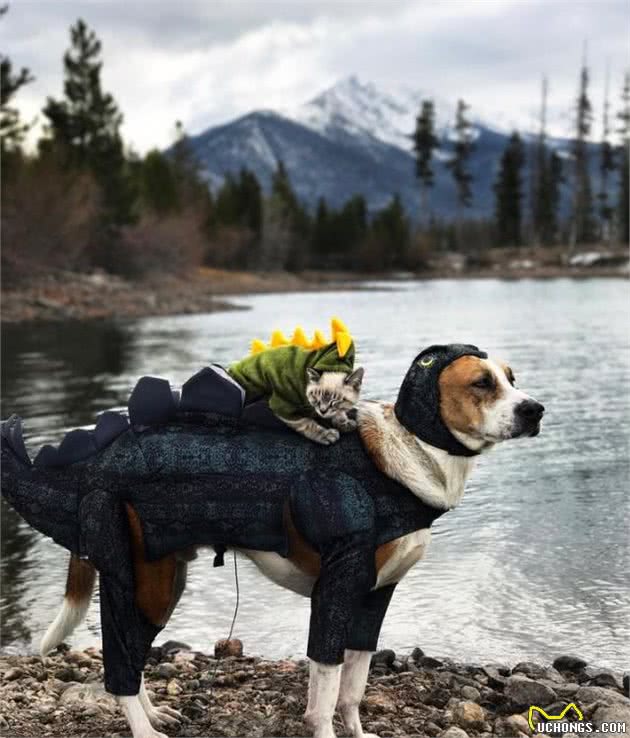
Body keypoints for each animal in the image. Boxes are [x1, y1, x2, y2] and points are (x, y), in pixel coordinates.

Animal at [2, 344, 544, 736]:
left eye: (512, 378)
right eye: (481, 383)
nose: (535, 410)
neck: (404, 453)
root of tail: (96, 467)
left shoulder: (374, 596)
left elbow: (353, 687)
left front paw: (358, 731)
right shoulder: (336, 589)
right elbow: (324, 689)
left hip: (161, 580)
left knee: (132, 655)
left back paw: (155, 715)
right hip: (141, 579)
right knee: (118, 664)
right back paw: (146, 730)